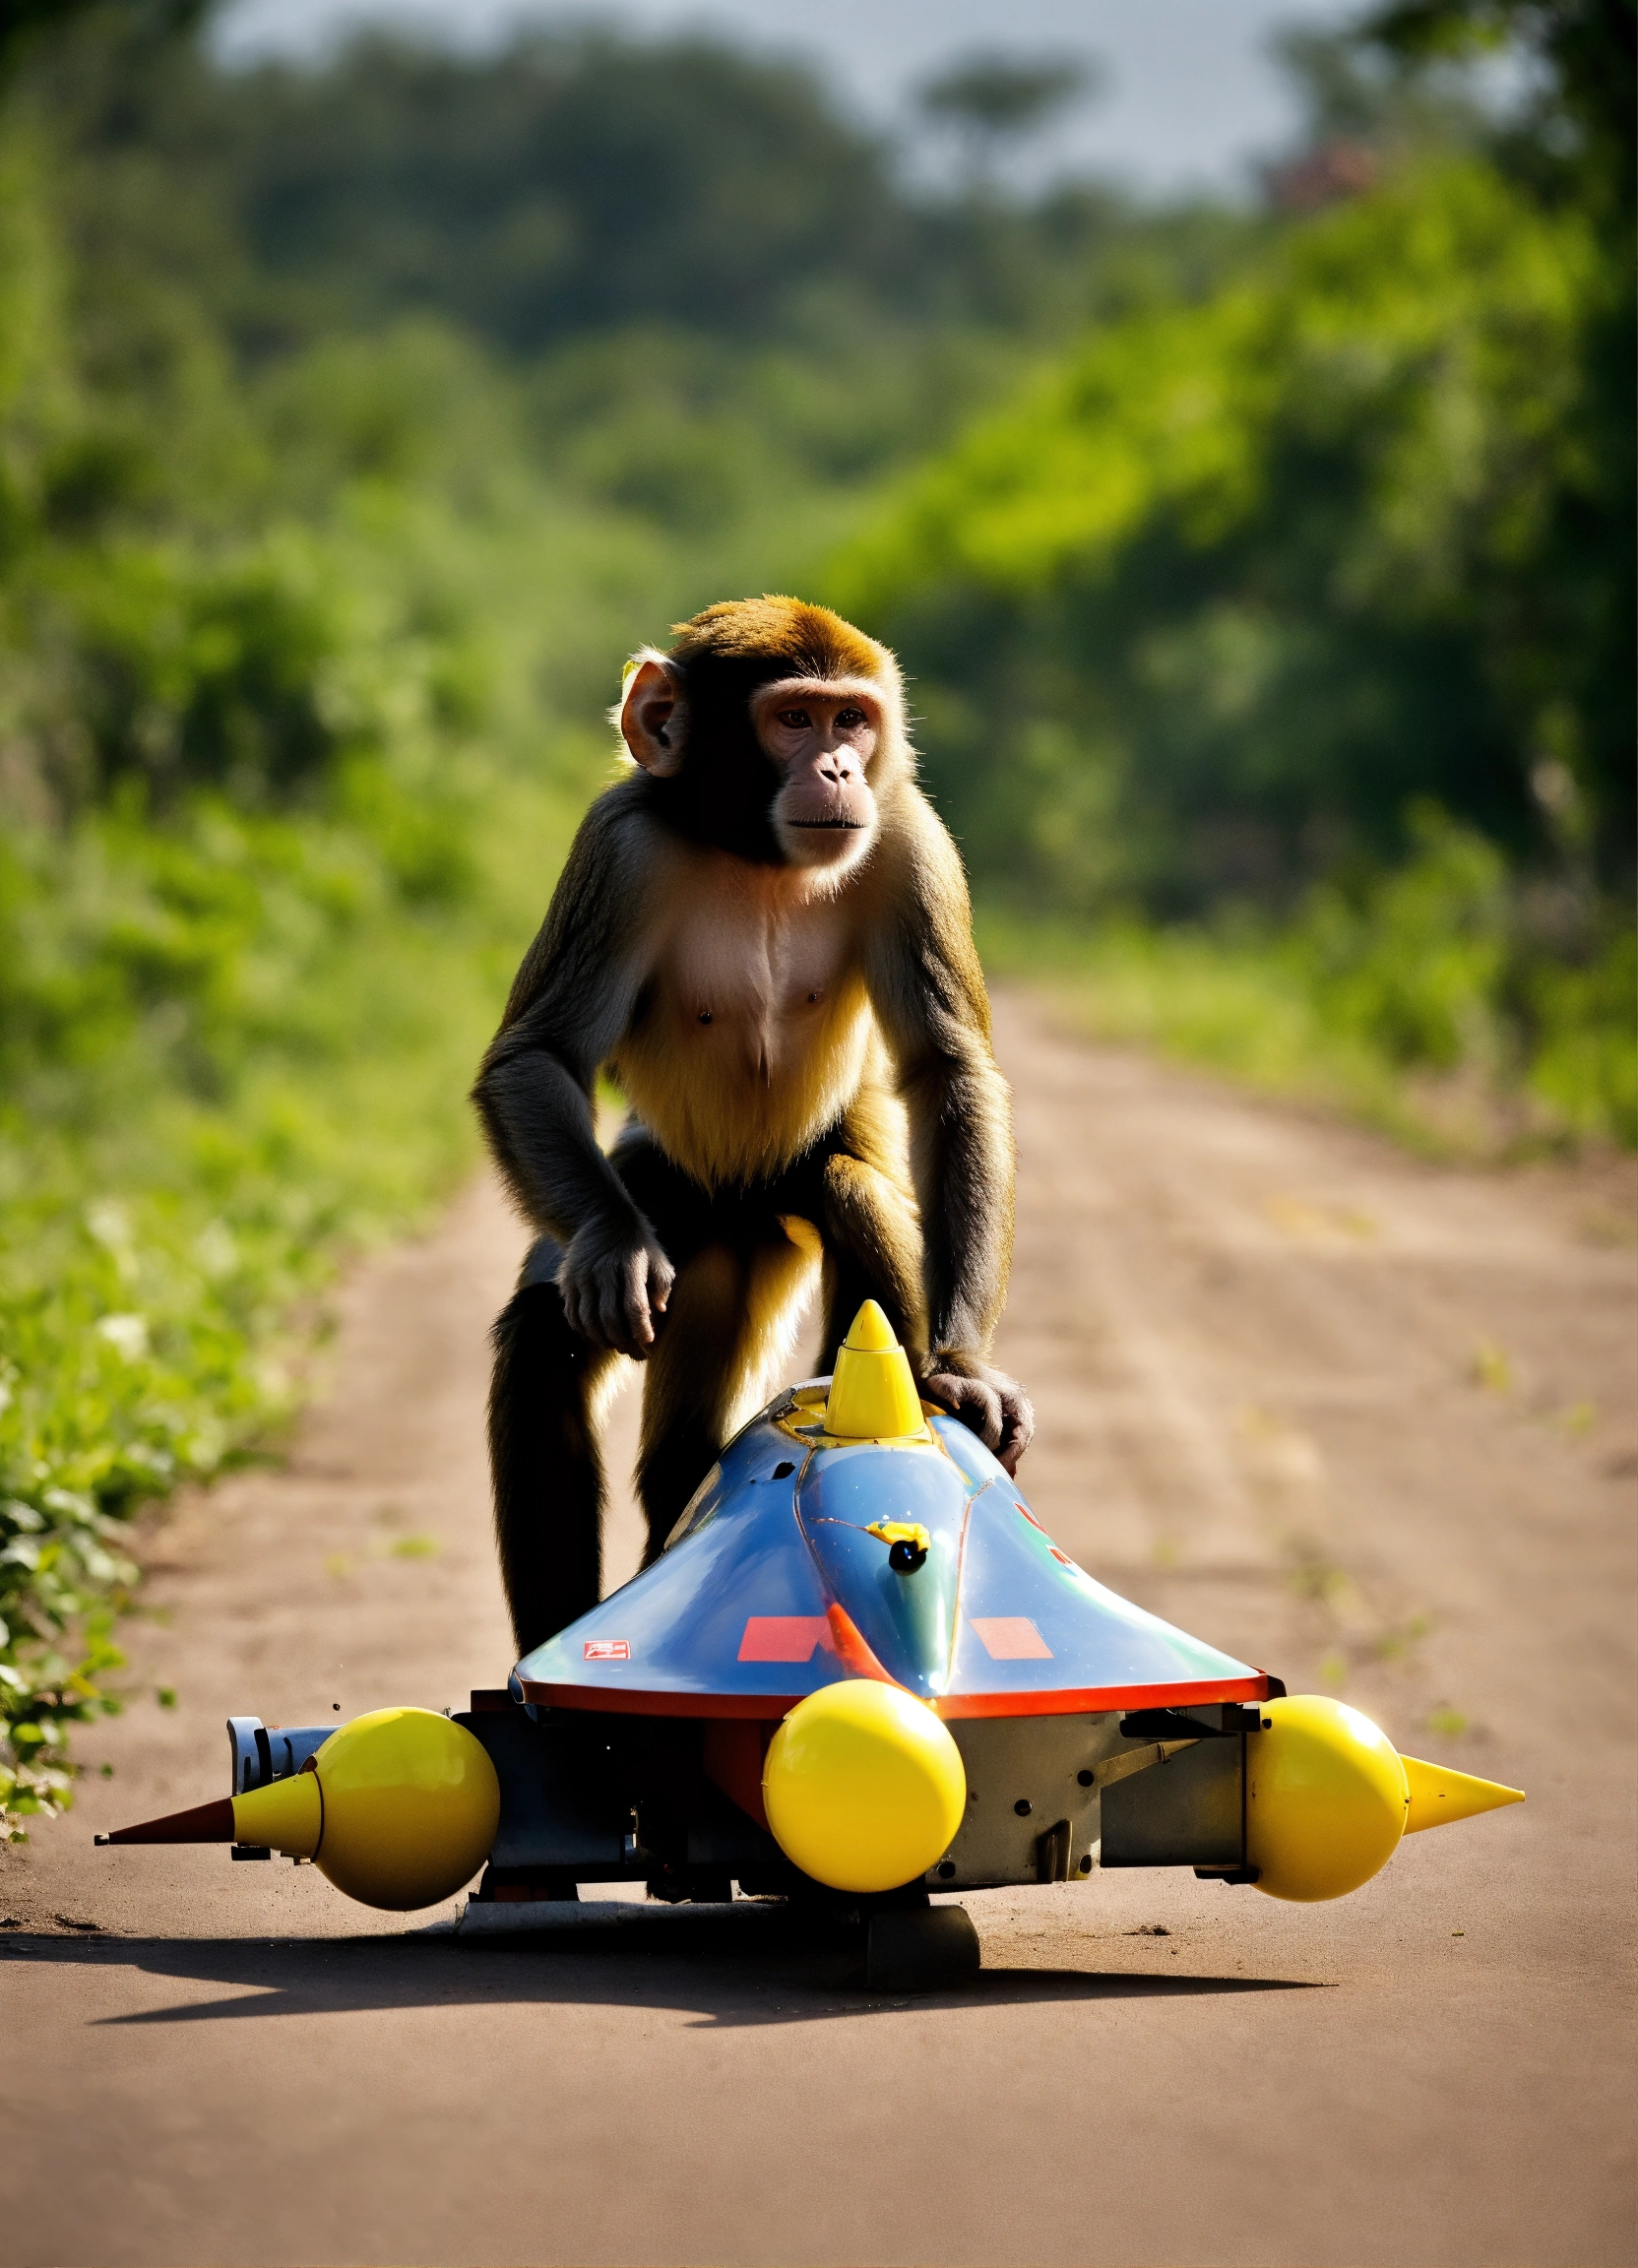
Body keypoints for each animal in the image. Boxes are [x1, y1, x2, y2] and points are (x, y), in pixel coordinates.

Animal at [473, 595, 1032, 1657]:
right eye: (794, 720)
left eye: (850, 719)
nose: (840, 769)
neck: (758, 859)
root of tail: (735, 1212)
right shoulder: (618, 846)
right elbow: (537, 1057)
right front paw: (612, 1252)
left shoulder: (908, 841)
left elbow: (946, 1069)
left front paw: (960, 1366)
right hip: (675, 1196)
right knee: (547, 1347)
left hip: (771, 1220)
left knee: (847, 1192)